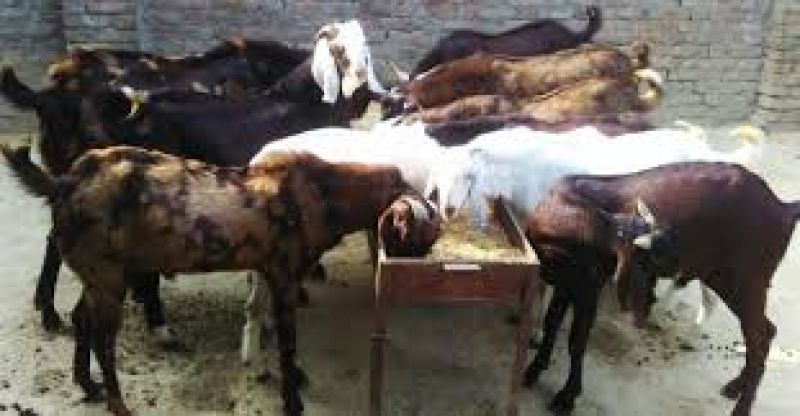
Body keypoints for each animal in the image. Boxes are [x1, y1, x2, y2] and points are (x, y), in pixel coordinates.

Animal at [1, 145, 438, 416]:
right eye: (427, 235)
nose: (417, 274)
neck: (323, 192)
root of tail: (63, 183)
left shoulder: (265, 270)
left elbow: (264, 323)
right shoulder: (284, 275)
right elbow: (287, 341)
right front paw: (292, 400)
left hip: (99, 274)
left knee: (81, 319)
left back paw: (86, 385)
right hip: (108, 277)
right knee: (104, 340)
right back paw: (117, 403)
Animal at [522, 162, 800, 416]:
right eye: (652, 255)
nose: (679, 267)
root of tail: (784, 207)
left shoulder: (589, 286)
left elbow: (577, 341)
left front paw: (566, 396)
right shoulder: (567, 283)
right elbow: (552, 322)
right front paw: (534, 370)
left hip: (747, 281)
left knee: (759, 338)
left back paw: (741, 407)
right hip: (723, 280)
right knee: (767, 331)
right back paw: (735, 386)